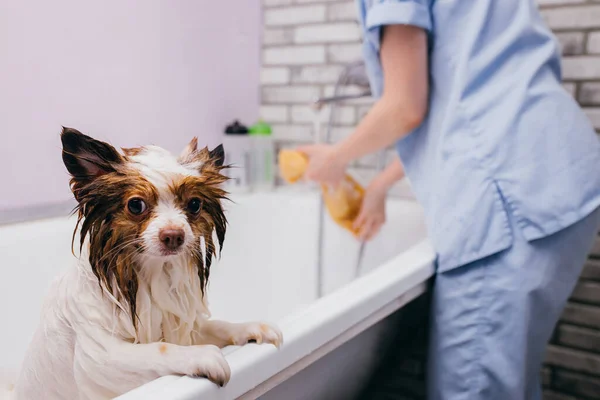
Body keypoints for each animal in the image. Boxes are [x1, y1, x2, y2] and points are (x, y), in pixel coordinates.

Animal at [5, 129, 282, 400]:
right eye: (136, 205)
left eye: (194, 204)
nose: (174, 235)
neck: (149, 275)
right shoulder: (98, 357)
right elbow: (159, 348)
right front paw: (202, 355)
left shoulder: (181, 325)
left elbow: (215, 325)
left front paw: (252, 328)